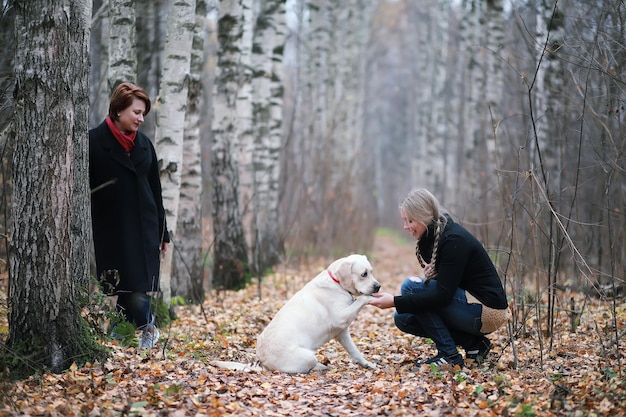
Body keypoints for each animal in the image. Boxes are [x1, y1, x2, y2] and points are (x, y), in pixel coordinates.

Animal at [210, 254, 378, 374]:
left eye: (371, 272)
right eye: (363, 274)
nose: (378, 286)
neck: (337, 283)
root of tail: (261, 362)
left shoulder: (342, 332)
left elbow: (355, 352)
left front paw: (367, 364)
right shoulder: (340, 318)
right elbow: (361, 299)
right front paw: (370, 298)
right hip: (308, 356)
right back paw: (319, 367)